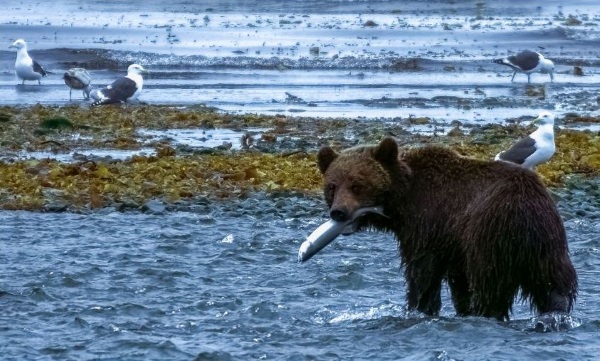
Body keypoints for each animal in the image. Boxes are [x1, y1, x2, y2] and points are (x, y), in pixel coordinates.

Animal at [314, 136, 576, 320]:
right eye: (332, 186)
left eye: (357, 184)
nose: (339, 212)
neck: (403, 202)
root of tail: (528, 212)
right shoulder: (453, 241)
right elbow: (458, 281)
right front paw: (458, 308)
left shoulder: (428, 224)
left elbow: (422, 273)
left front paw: (417, 307)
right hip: (548, 242)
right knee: (554, 284)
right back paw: (555, 312)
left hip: (492, 234)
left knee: (489, 283)